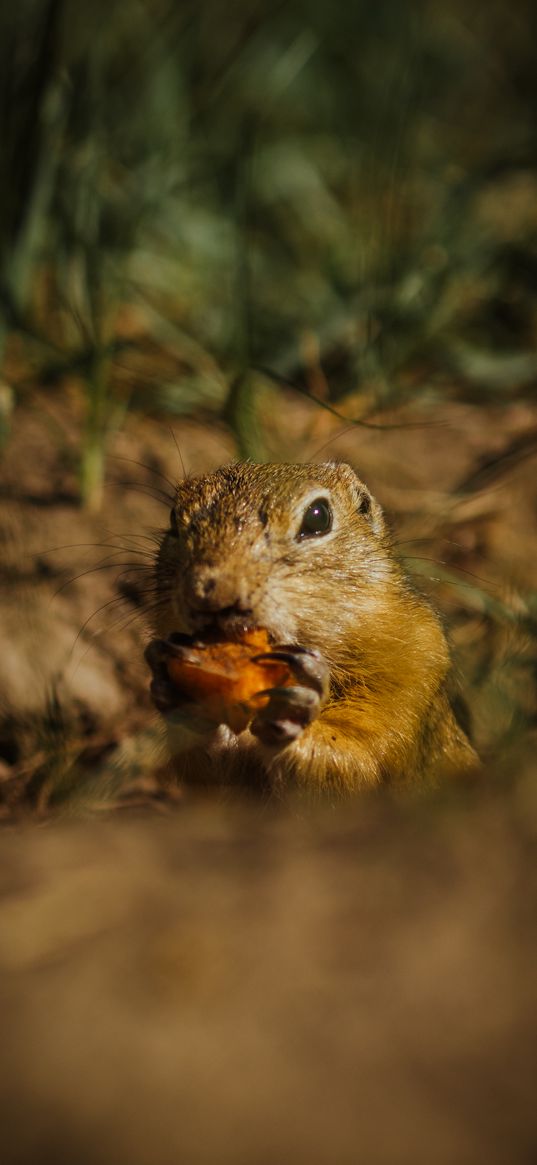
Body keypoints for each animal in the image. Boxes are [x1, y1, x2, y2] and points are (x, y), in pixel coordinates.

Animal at [144, 459, 475, 796]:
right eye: (173, 518)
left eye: (319, 517)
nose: (210, 594)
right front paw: (176, 694)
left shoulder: (414, 673)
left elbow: (360, 761)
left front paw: (294, 713)